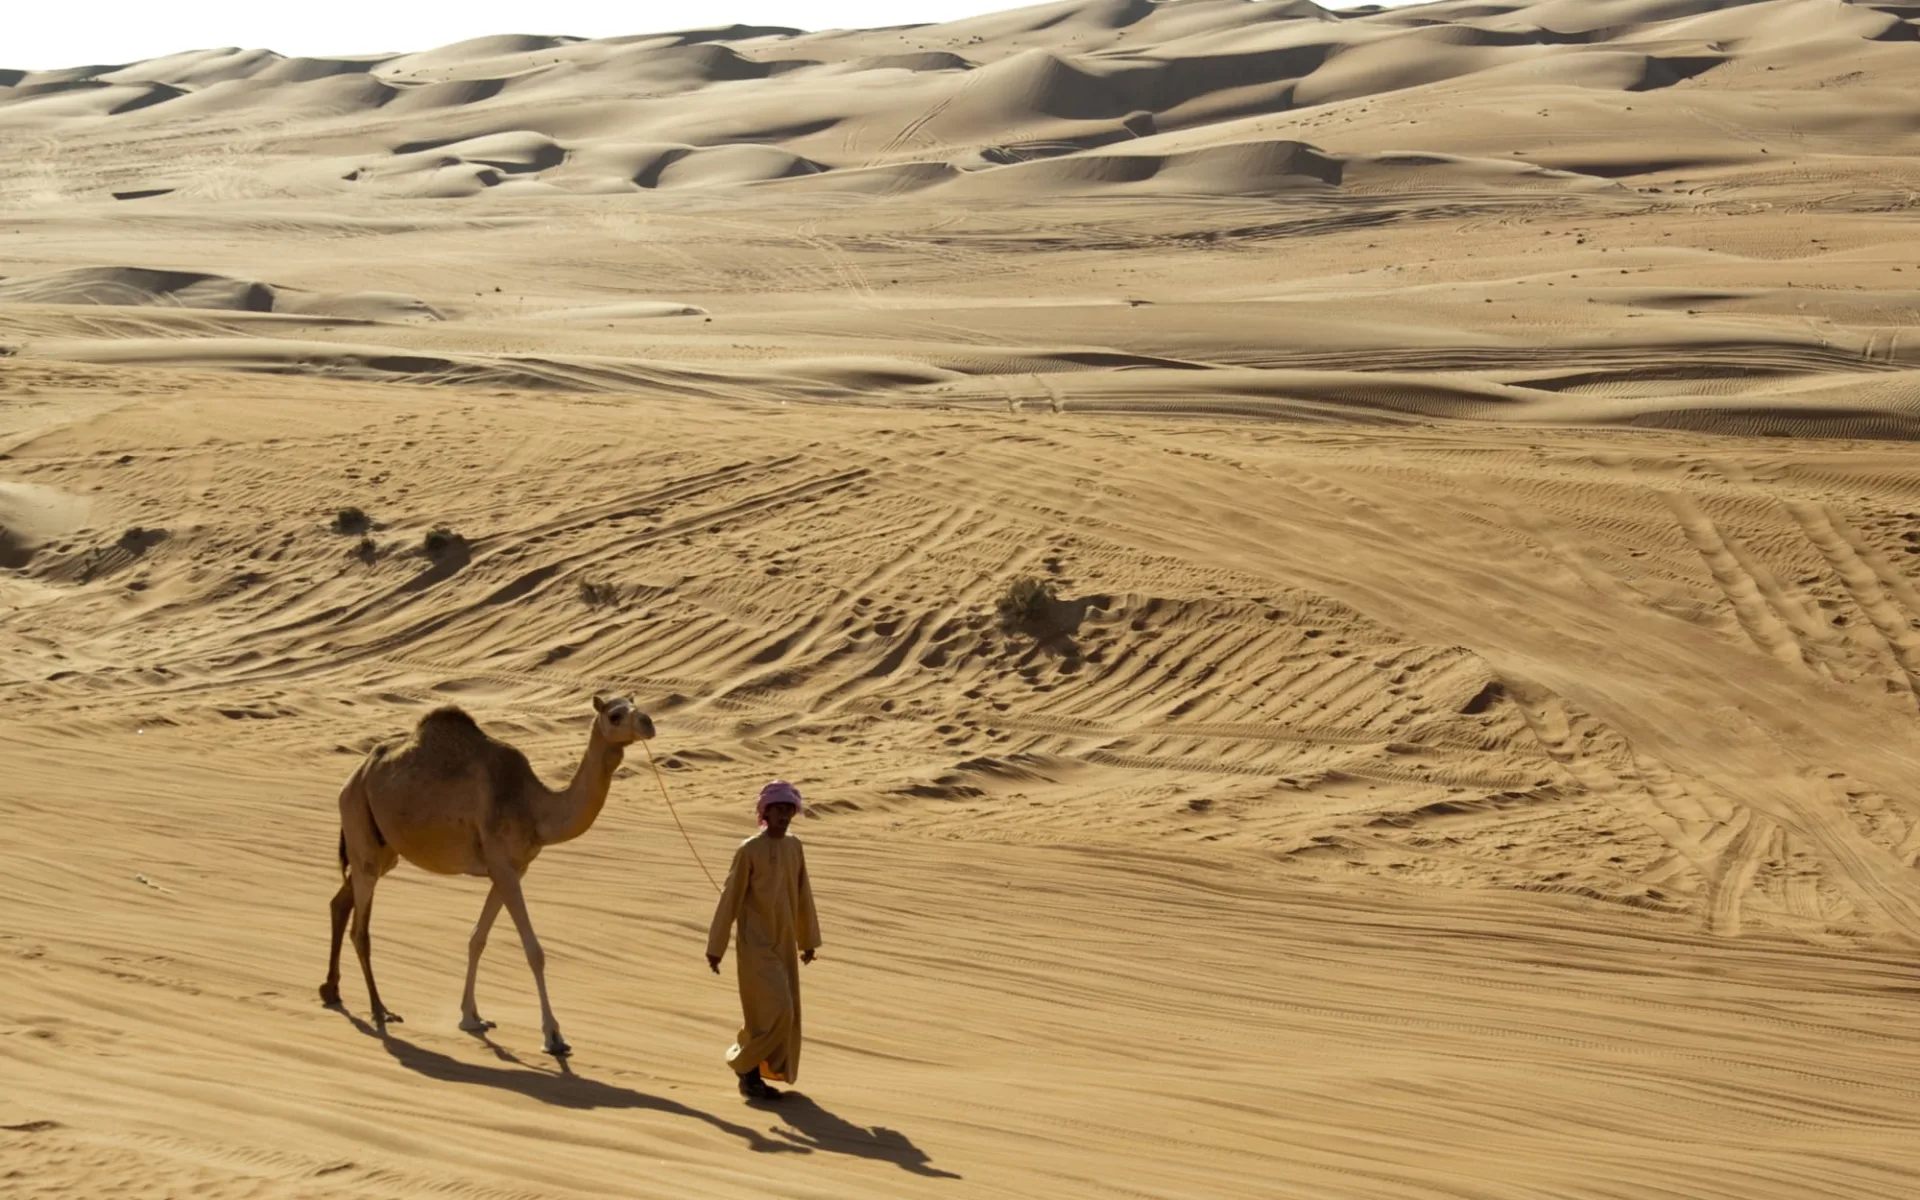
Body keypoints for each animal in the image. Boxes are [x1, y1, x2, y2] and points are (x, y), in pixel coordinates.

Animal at [311, 698, 648, 1052]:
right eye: (615, 715)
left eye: (636, 704)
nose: (648, 723)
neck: (534, 807)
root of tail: (355, 775)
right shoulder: (503, 867)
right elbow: (533, 951)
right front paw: (553, 1036)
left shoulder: (511, 869)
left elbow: (477, 938)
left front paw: (472, 1017)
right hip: (359, 823)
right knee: (360, 929)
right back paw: (380, 1010)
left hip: (384, 847)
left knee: (340, 902)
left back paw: (331, 990)